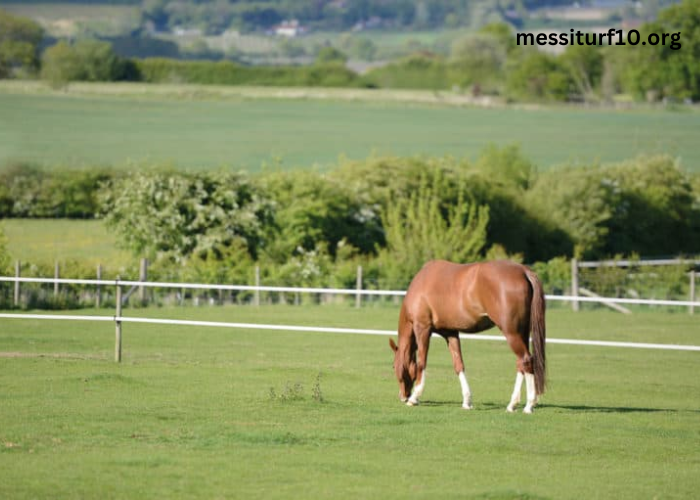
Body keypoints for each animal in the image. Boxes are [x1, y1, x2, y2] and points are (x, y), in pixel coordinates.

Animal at [388, 260, 548, 412]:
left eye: (393, 366)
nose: (402, 396)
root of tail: (523, 271)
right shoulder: (450, 333)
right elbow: (458, 364)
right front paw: (466, 401)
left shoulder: (422, 328)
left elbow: (422, 362)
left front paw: (414, 397)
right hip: (522, 333)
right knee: (521, 364)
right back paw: (512, 404)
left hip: (511, 332)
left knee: (526, 360)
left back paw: (529, 405)